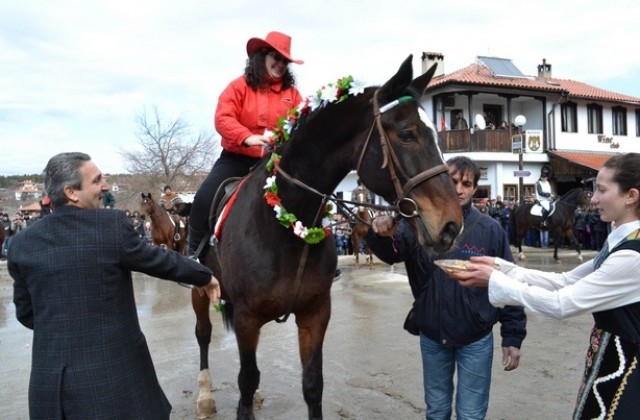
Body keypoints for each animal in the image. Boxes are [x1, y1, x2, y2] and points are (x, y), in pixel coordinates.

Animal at [191, 56, 464, 420]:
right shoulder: (247, 317)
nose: (451, 224)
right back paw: (204, 396)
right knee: (203, 335)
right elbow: (246, 381)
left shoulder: (315, 314)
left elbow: (311, 384)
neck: (283, 226)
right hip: (200, 290)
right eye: (407, 134)